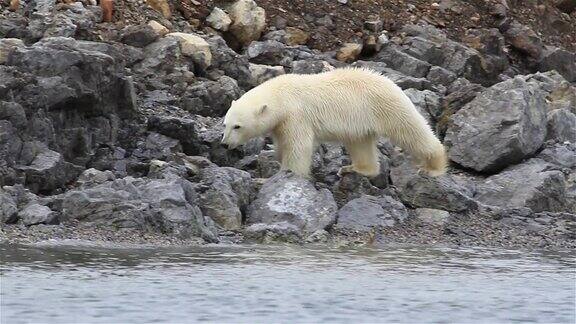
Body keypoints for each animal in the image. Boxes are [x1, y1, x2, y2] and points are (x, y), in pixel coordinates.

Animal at [219, 67, 446, 177]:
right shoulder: (281, 123)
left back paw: (433, 167)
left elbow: (298, 146)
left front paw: (282, 174)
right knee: (360, 143)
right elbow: (282, 143)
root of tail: (392, 82)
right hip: (360, 121)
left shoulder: (296, 115)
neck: (281, 95)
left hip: (386, 107)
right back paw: (354, 169)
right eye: (225, 124)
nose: (224, 144)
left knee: (411, 132)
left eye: (238, 126)